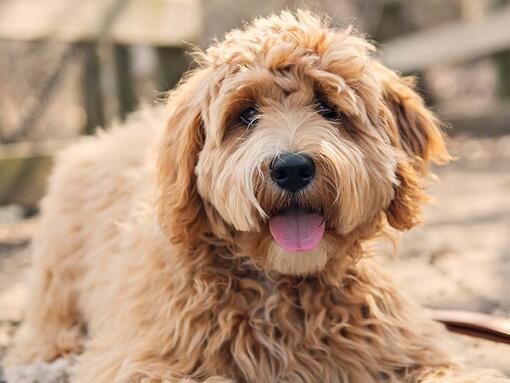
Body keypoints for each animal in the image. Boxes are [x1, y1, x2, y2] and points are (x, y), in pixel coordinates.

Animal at [2, 10, 506, 382]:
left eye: (328, 108)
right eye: (245, 115)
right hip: (57, 284)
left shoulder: (410, 348)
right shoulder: (144, 357)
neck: (281, 286)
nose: (292, 167)